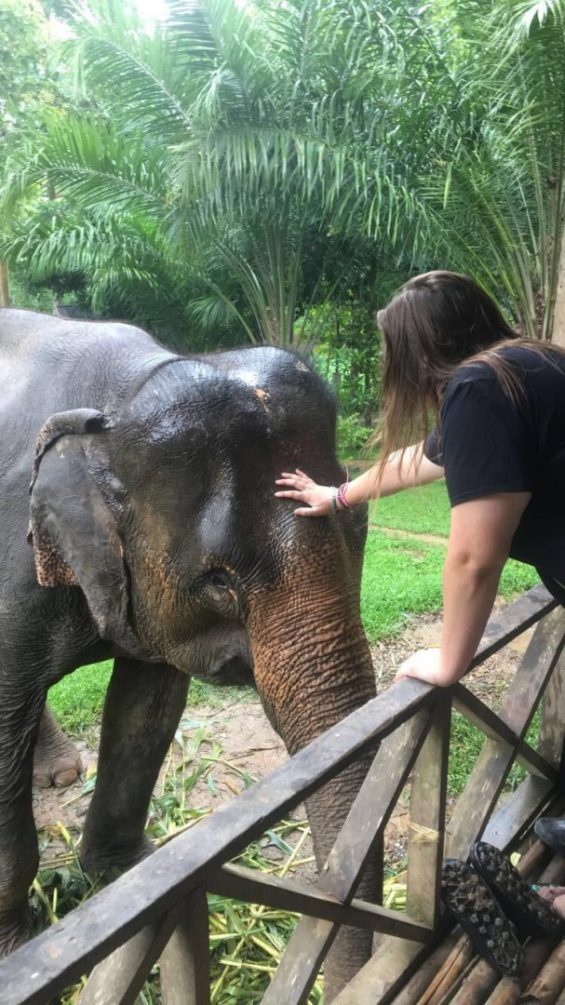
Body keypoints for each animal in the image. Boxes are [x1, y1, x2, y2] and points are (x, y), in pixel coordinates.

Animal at [1, 309, 378, 1000]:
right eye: (218, 581)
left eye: (357, 523)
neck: (116, 399)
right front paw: (20, 949)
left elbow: (147, 704)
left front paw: (127, 875)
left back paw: (60, 775)